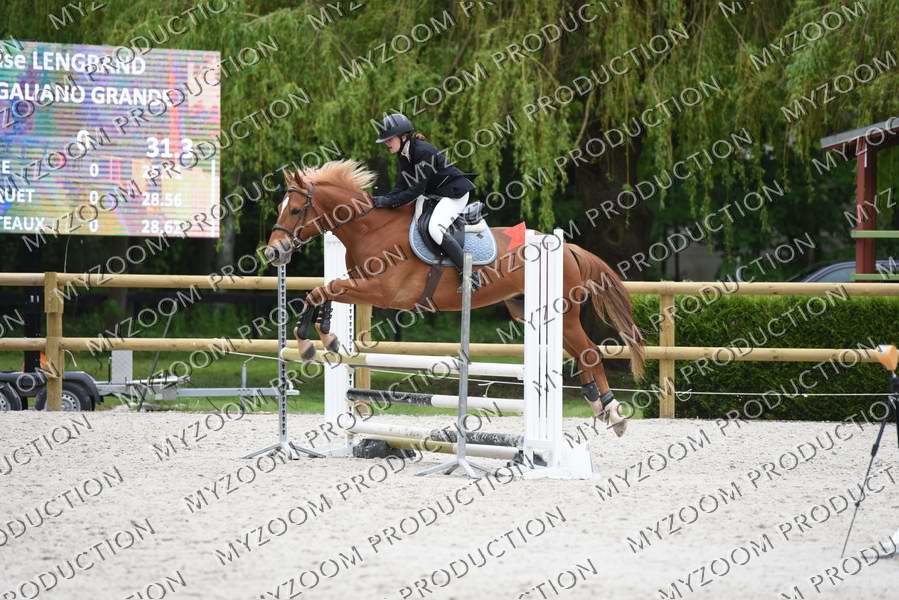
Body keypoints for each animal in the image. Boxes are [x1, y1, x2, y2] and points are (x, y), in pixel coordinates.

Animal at [263, 160, 644, 435]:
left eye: (294, 210)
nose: (273, 252)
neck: (371, 228)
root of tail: (567, 248)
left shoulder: (383, 291)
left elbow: (322, 290)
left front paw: (310, 343)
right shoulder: (360, 284)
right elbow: (325, 291)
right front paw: (324, 338)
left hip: (562, 313)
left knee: (590, 352)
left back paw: (613, 413)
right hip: (531, 312)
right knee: (579, 355)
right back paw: (598, 406)